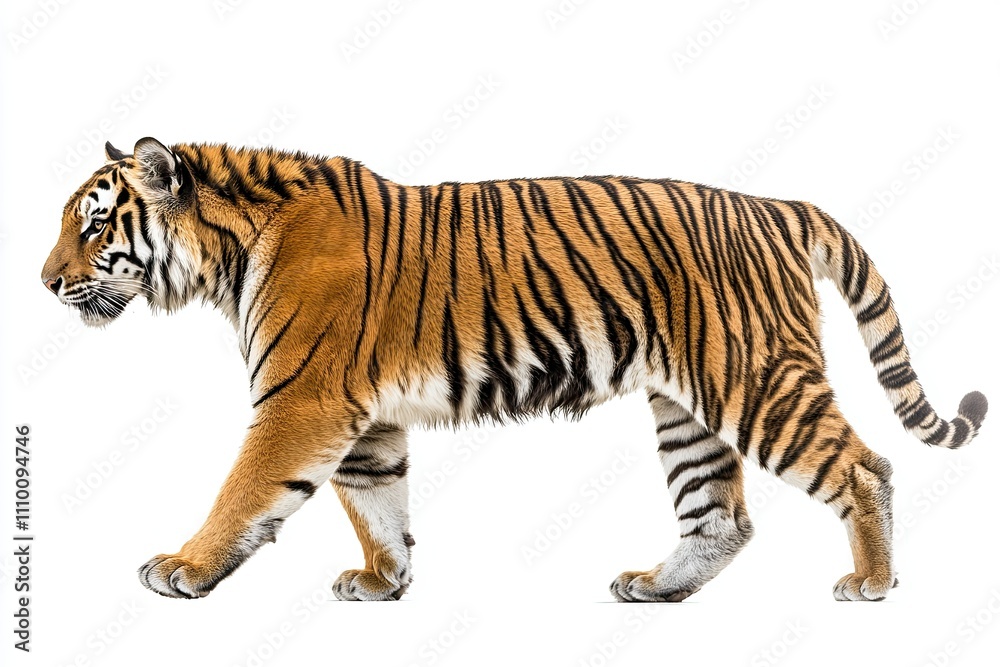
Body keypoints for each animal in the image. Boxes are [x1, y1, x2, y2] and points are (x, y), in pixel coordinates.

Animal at [42, 137, 987, 602]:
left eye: (93, 224)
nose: (46, 282)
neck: (229, 252)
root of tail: (776, 205)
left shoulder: (300, 401)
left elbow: (244, 492)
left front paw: (184, 566)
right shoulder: (363, 419)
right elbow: (375, 501)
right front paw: (385, 580)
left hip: (756, 381)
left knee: (863, 466)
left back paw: (872, 582)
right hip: (686, 406)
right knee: (721, 517)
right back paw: (657, 587)